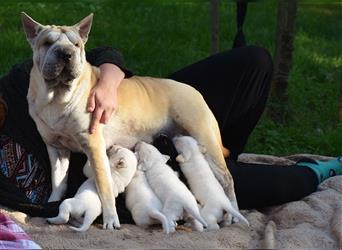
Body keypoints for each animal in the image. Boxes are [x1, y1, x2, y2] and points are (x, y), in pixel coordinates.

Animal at [20, 12, 236, 229]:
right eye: (47, 43)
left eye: (76, 45)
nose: (66, 53)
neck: (57, 97)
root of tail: (194, 91)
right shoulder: (55, 148)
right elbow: (58, 181)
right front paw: (51, 202)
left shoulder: (94, 147)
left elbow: (104, 186)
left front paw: (110, 219)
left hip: (205, 138)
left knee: (227, 179)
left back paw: (231, 215)